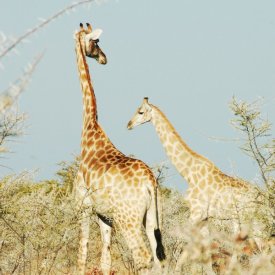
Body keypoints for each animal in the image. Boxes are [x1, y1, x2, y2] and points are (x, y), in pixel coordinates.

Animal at [73, 24, 166, 275]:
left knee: (142, 256)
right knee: (158, 258)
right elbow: (106, 259)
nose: (103, 58)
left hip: (128, 219)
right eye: (96, 43)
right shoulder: (104, 215)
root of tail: (149, 182)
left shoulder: (84, 206)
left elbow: (82, 249)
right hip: (151, 218)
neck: (89, 132)